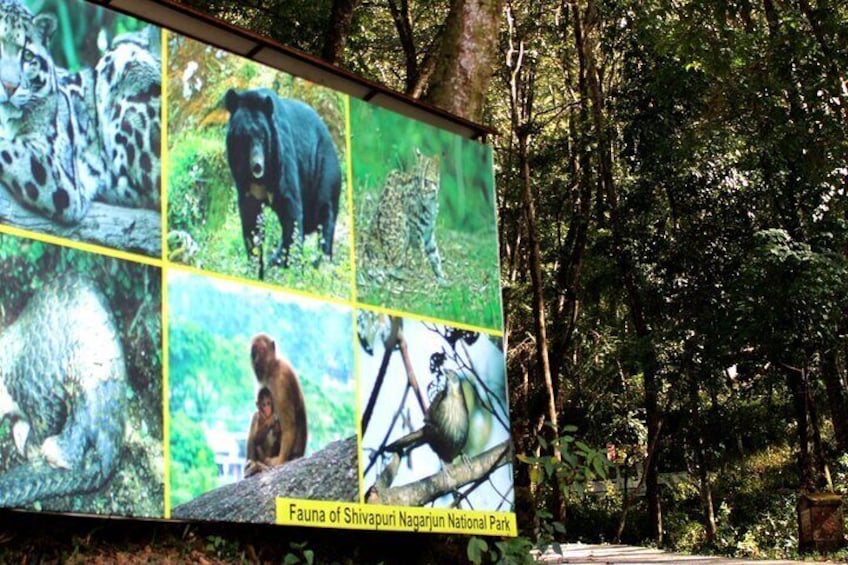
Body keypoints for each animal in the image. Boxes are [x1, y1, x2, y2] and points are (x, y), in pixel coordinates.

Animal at [0, 274, 127, 506]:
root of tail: (108, 457)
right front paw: (21, 432)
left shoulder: (34, 384)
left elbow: (47, 418)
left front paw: (31, 446)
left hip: (92, 387)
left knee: (81, 427)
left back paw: (54, 452)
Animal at [229, 86, 344, 278]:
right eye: (243, 138)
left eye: (262, 137)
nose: (257, 166)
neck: (259, 179)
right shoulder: (245, 185)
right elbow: (251, 223)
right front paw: (256, 268)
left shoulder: (281, 161)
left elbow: (291, 210)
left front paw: (293, 267)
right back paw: (276, 259)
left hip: (323, 169)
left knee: (325, 213)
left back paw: (320, 263)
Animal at [360, 148, 448, 284]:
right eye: (417, 179)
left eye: (426, 181)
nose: (421, 191)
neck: (430, 202)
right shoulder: (416, 229)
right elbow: (422, 253)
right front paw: (426, 273)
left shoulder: (429, 232)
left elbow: (434, 255)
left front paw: (440, 275)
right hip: (402, 227)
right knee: (390, 265)